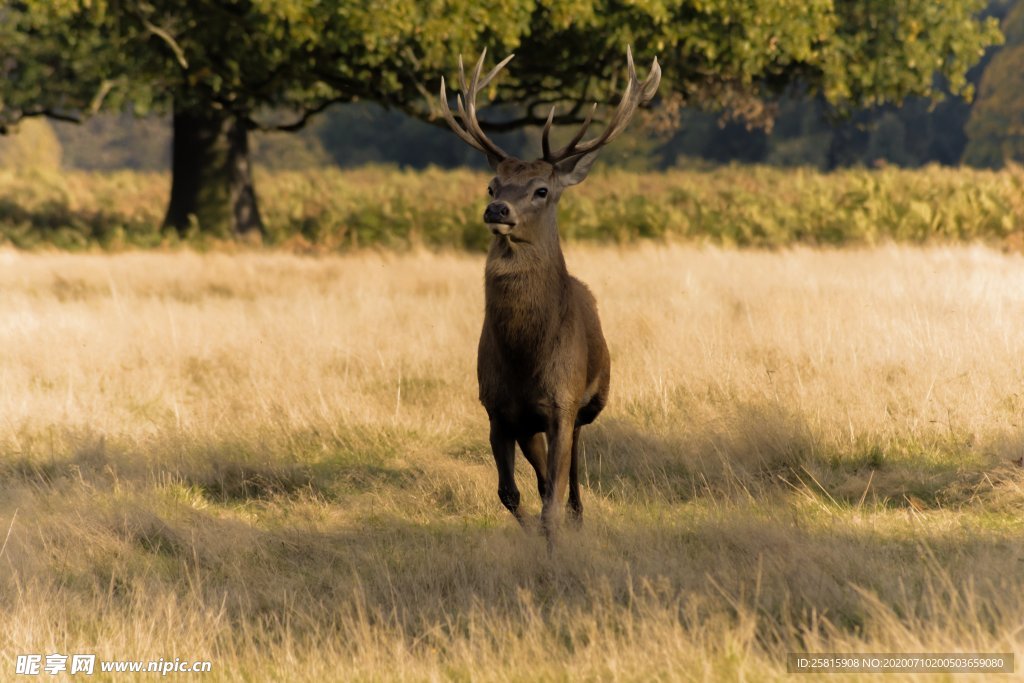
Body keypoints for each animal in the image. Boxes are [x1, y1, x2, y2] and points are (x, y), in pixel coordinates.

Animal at [438, 46, 663, 544]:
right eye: (492, 185)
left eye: (542, 189)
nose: (497, 209)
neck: (526, 359)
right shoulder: (497, 408)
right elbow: (512, 493)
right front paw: (533, 537)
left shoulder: (563, 399)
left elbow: (553, 497)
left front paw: (557, 539)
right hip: (530, 424)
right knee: (543, 474)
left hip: (587, 402)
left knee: (573, 465)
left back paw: (579, 514)